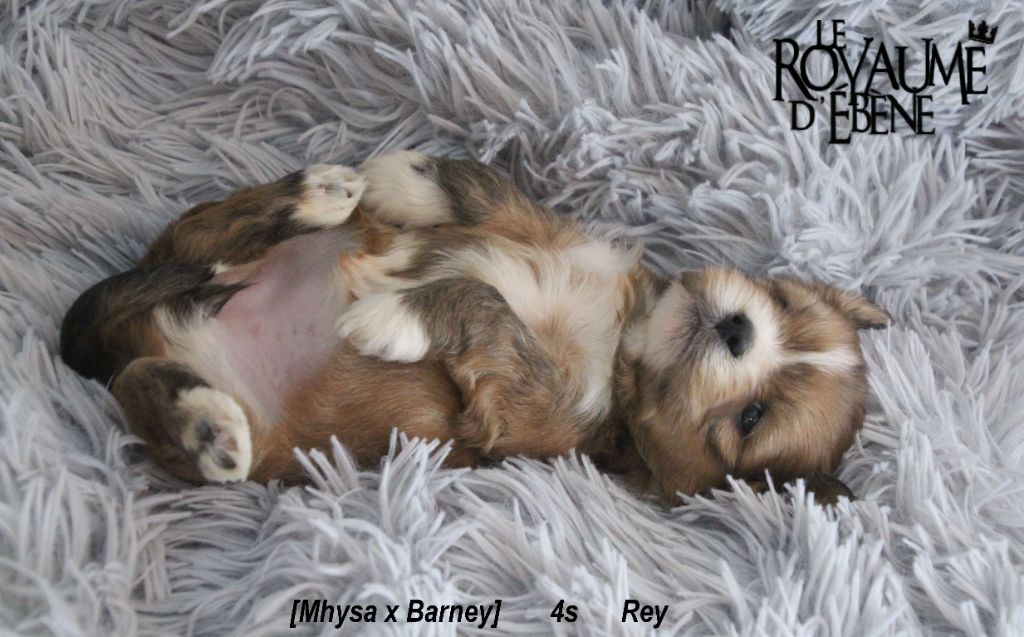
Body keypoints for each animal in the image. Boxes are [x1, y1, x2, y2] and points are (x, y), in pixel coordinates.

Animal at [60, 151, 890, 504]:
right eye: (782, 301)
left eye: (751, 418)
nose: (738, 328)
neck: (623, 336)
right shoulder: (558, 235)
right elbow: (494, 194)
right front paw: (405, 175)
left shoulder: (530, 409)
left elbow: (483, 303)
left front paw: (391, 313)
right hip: (199, 245)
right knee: (216, 242)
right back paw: (321, 193)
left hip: (240, 430)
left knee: (144, 395)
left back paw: (205, 425)